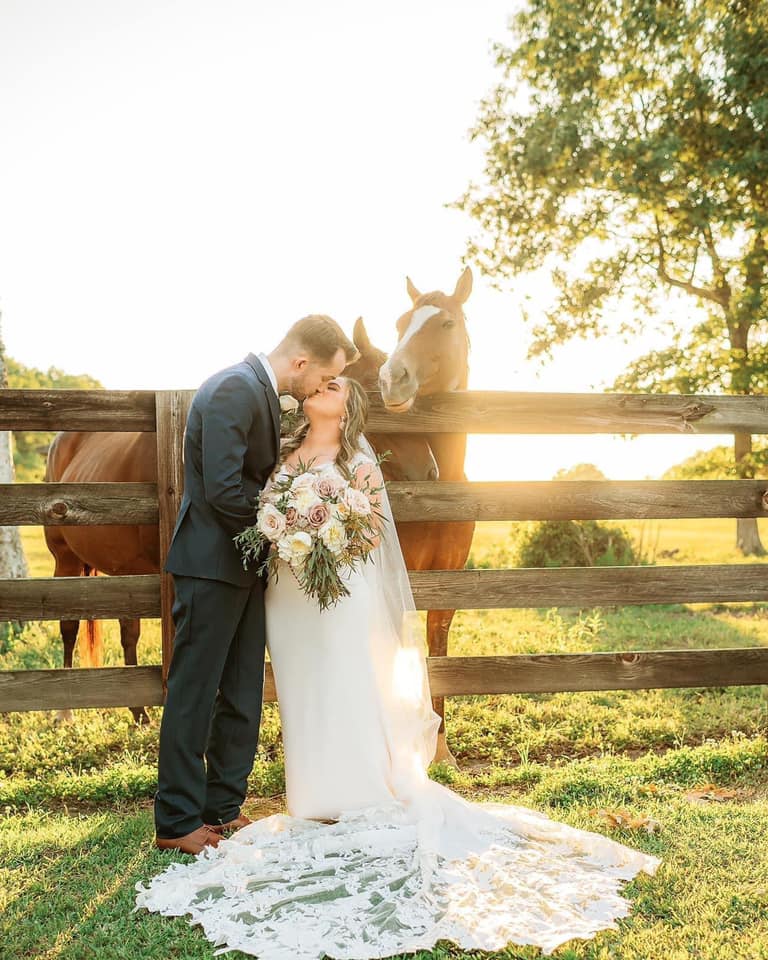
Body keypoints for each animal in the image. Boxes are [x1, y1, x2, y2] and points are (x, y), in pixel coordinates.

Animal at [44, 388, 438, 724]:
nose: (430, 471)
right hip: (68, 560)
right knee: (70, 626)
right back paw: (68, 712)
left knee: (121, 630)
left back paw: (137, 712)